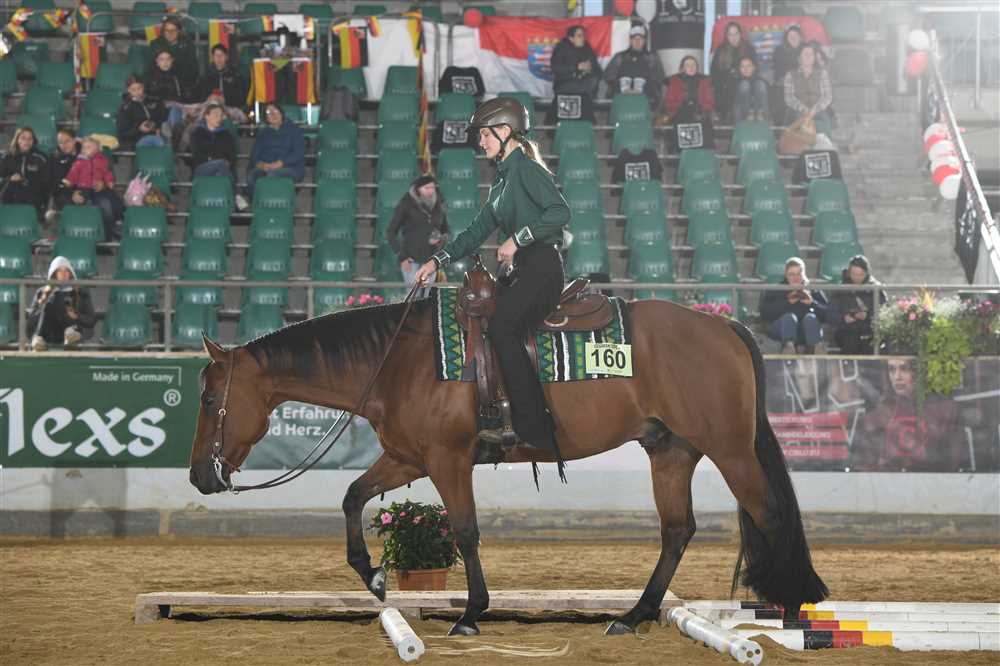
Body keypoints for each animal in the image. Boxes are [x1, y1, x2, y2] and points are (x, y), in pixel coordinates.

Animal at [189, 295, 828, 636]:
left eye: (210, 398)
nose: (199, 475)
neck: (399, 361)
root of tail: (722, 324)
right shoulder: (407, 456)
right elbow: (352, 497)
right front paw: (373, 576)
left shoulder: (448, 460)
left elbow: (466, 531)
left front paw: (471, 613)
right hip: (670, 451)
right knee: (677, 531)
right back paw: (635, 614)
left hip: (730, 450)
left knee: (769, 514)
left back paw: (789, 608)